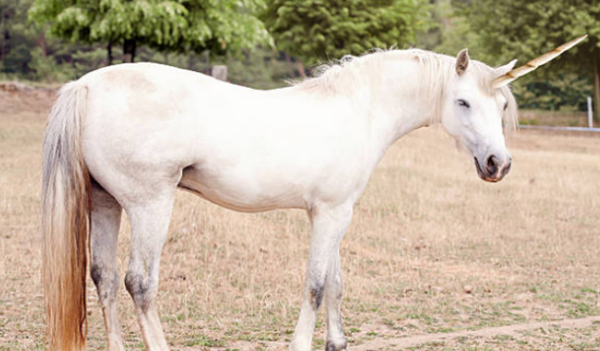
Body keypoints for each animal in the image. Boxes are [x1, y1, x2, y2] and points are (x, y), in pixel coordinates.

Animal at [39, 38, 584, 351]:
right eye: (464, 102)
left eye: (501, 105)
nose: (498, 164)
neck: (358, 109)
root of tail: (86, 86)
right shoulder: (330, 214)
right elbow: (317, 286)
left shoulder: (334, 215)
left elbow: (337, 284)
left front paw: (336, 343)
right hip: (151, 205)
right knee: (139, 284)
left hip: (106, 203)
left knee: (105, 279)